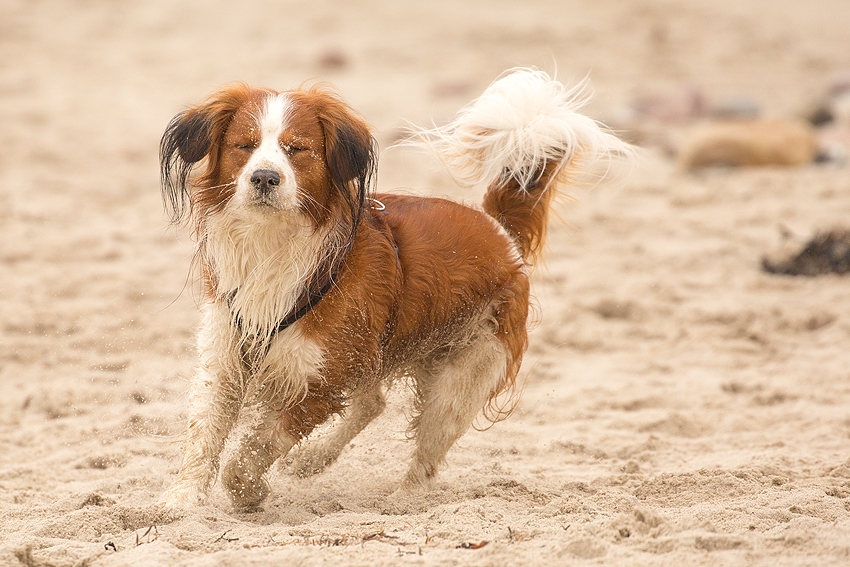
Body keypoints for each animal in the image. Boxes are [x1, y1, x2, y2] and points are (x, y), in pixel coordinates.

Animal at [159, 67, 628, 510]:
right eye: (244, 145)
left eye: (297, 149)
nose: (264, 178)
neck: (270, 244)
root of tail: (500, 233)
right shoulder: (227, 356)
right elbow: (205, 435)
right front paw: (183, 501)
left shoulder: (319, 379)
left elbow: (257, 447)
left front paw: (248, 491)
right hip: (370, 349)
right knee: (373, 403)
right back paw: (312, 460)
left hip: (460, 378)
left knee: (427, 452)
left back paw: (403, 500)